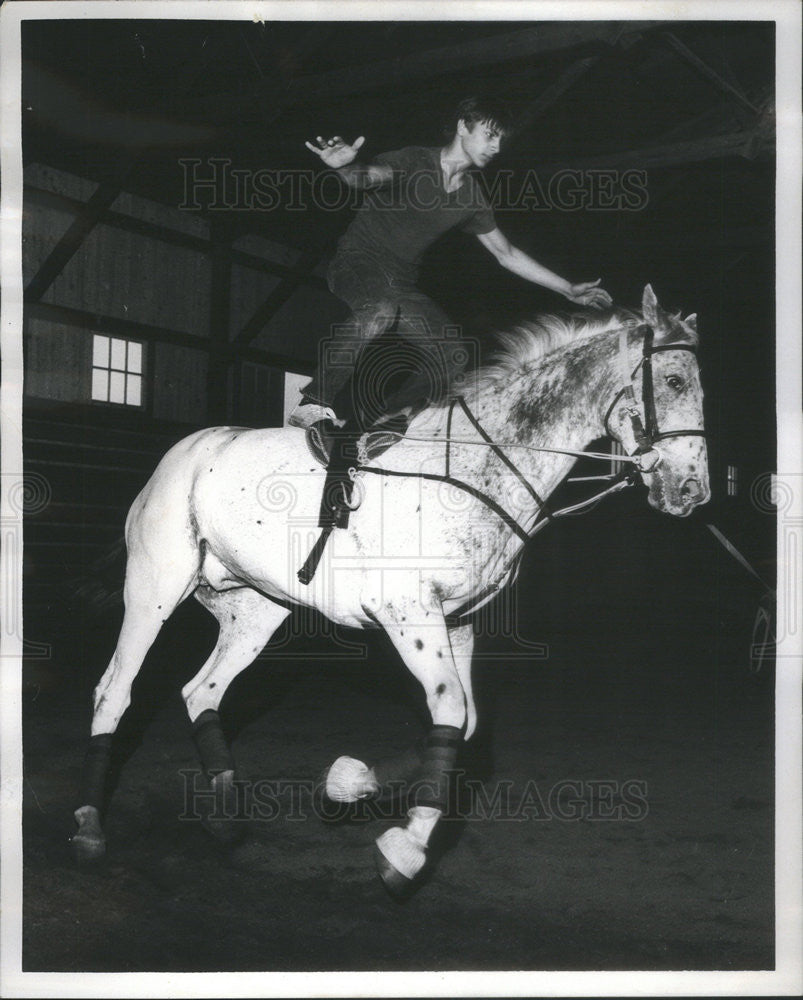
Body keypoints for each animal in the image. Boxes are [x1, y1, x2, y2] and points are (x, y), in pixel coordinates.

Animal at [70, 286, 708, 896]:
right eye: (675, 381)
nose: (691, 490)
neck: (474, 469)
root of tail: (185, 452)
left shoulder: (458, 621)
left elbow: (463, 723)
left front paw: (347, 784)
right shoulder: (409, 613)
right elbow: (450, 711)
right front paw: (406, 849)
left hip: (256, 611)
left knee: (201, 690)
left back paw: (225, 816)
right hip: (154, 590)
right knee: (114, 692)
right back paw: (89, 827)